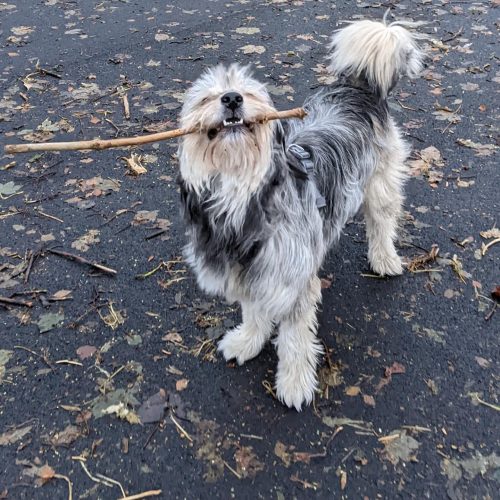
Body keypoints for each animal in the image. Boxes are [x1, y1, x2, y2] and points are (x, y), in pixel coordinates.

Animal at [178, 19, 424, 410]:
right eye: (204, 98)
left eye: (250, 94)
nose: (231, 98)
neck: (241, 194)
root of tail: (357, 87)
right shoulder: (250, 271)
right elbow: (254, 311)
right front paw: (248, 341)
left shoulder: (291, 279)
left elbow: (294, 340)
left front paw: (294, 383)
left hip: (380, 183)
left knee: (382, 221)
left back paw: (385, 259)